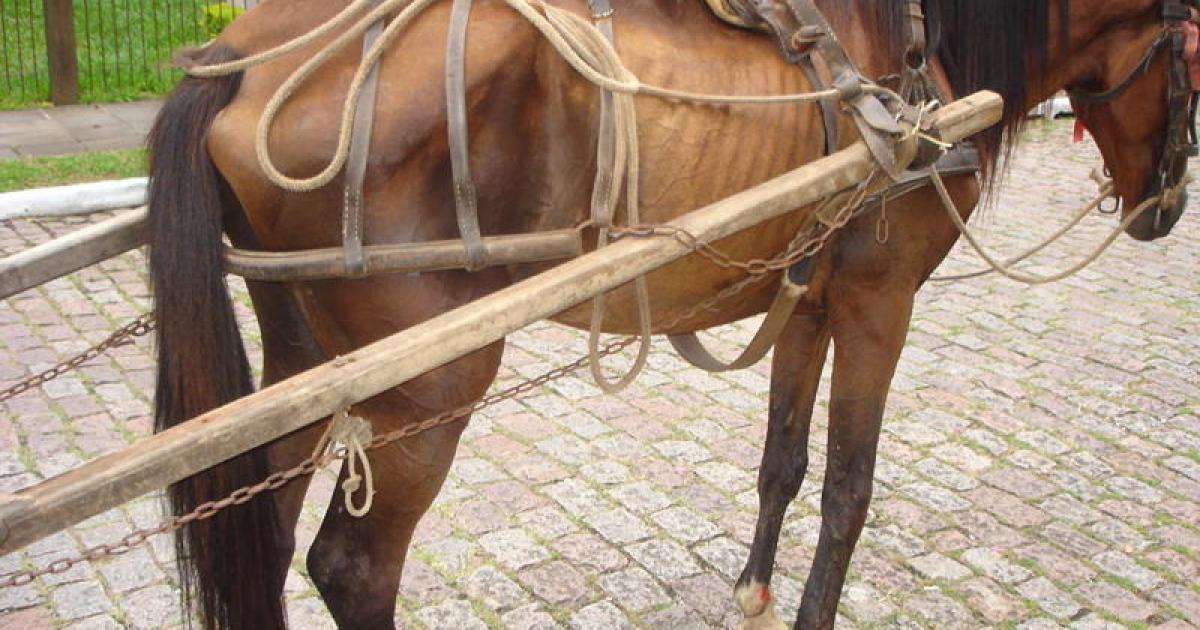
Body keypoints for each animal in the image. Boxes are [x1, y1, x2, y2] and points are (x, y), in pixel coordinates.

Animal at [145, 0, 1195, 624]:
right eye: (1191, 52)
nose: (1168, 206)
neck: (913, 60)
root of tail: (236, 58)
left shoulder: (807, 301)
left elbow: (784, 463)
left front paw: (753, 590)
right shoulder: (878, 304)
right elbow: (850, 490)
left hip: (299, 364)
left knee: (266, 529)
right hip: (426, 386)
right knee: (351, 568)